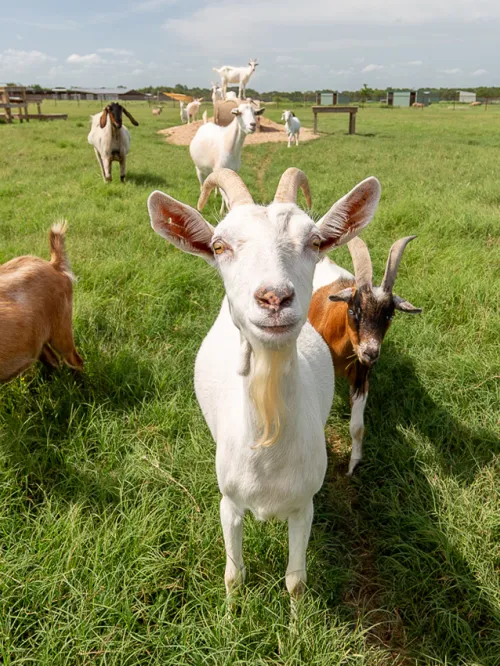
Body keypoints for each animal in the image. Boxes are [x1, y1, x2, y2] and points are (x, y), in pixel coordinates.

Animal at [146, 166, 380, 596]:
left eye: (314, 240)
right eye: (219, 246)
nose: (274, 298)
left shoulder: (304, 506)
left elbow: (296, 581)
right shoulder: (228, 503)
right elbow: (233, 574)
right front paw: (229, 610)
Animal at [308, 236, 422, 474]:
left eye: (389, 315)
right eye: (353, 311)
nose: (371, 353)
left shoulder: (361, 375)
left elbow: (358, 427)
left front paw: (353, 465)